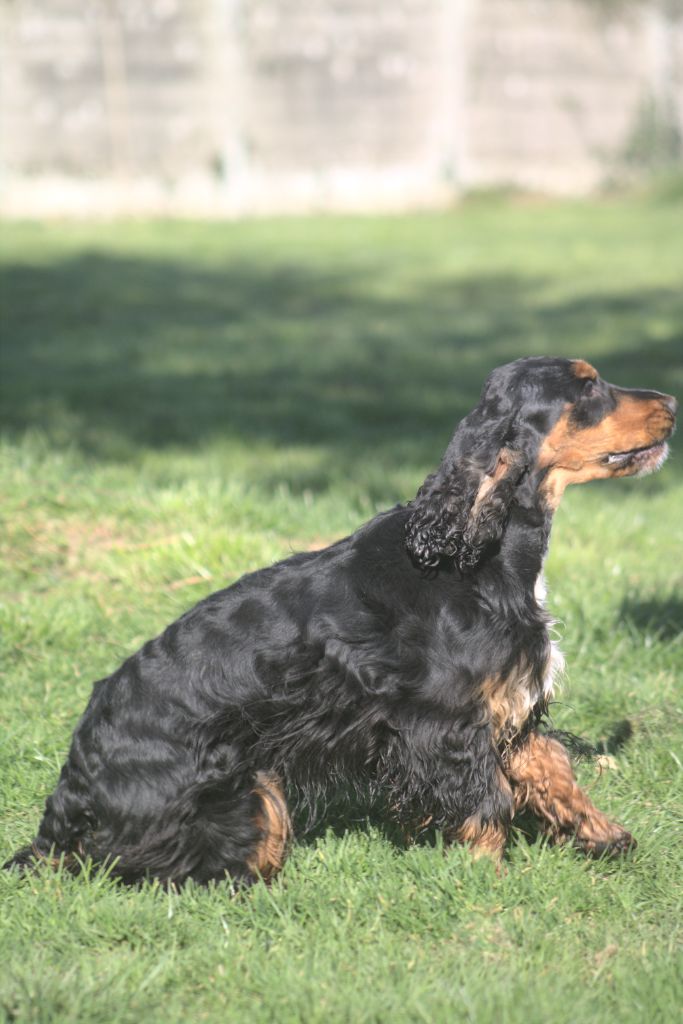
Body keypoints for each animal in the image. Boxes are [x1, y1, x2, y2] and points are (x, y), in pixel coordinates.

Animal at [3, 356, 679, 884]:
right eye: (587, 387)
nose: (672, 401)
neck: (472, 550)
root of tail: (68, 799)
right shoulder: (444, 720)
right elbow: (486, 801)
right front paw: (485, 880)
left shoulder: (505, 697)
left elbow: (551, 766)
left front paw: (602, 833)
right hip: (253, 790)